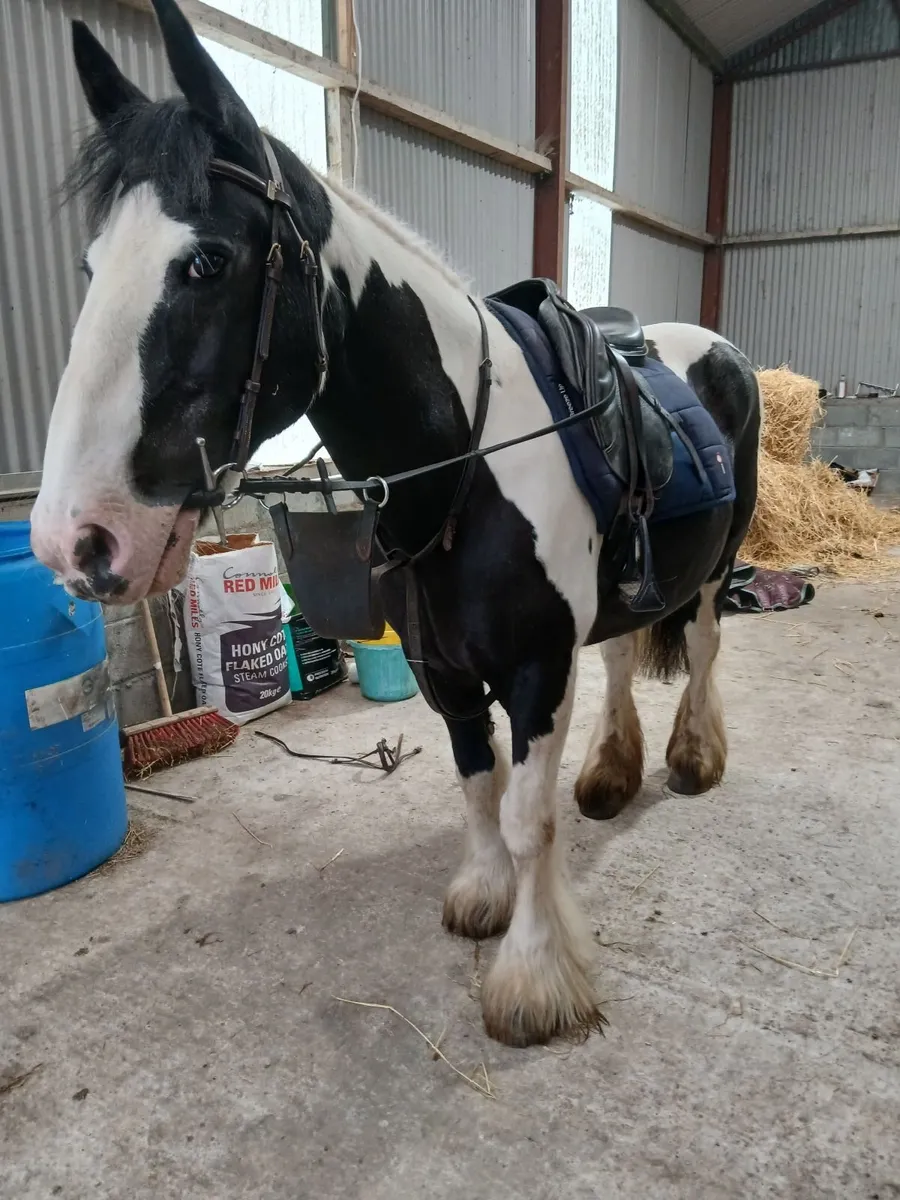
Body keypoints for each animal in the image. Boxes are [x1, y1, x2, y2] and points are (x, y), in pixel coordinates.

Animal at [30, 0, 760, 1048]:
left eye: (207, 260)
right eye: (92, 265)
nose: (74, 541)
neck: (465, 460)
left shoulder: (537, 669)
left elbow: (527, 815)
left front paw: (532, 980)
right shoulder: (443, 669)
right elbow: (476, 782)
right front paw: (483, 899)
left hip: (714, 569)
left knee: (698, 651)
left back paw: (694, 760)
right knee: (626, 654)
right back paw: (612, 776)